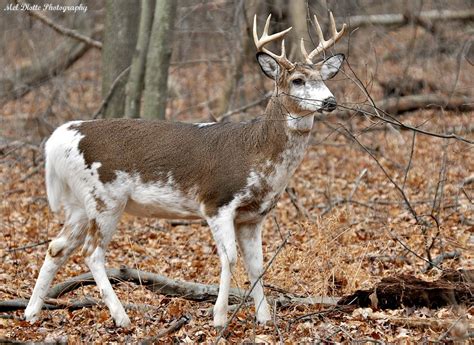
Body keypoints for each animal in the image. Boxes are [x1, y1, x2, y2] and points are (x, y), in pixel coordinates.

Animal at [24, 11, 346, 328]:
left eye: (323, 77)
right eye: (298, 80)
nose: (330, 100)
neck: (257, 153)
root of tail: (57, 138)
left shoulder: (253, 215)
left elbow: (257, 265)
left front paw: (264, 318)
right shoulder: (216, 202)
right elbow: (230, 259)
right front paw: (219, 318)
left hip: (80, 203)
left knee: (57, 246)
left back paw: (31, 313)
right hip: (104, 198)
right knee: (92, 253)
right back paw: (122, 317)